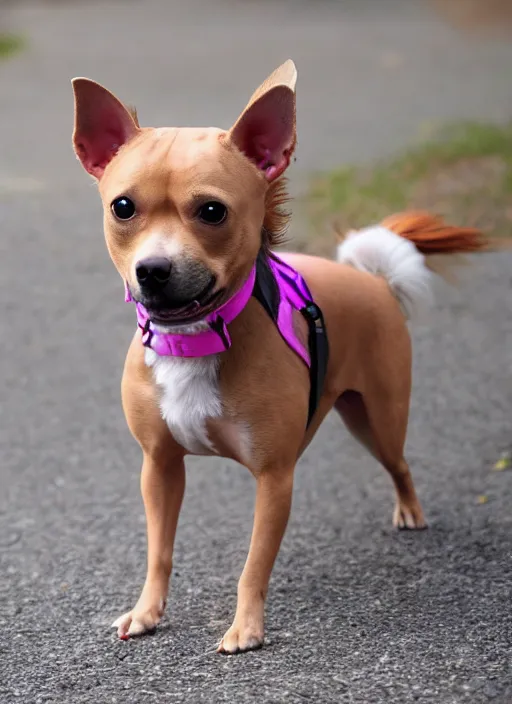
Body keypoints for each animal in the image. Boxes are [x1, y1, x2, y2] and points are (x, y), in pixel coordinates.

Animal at [71, 60, 484, 656]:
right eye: (122, 207)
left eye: (213, 211)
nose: (152, 270)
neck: (198, 339)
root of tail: (370, 279)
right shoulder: (160, 468)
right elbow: (159, 552)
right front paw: (147, 612)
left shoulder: (274, 479)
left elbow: (253, 564)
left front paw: (246, 628)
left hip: (378, 420)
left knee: (400, 464)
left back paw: (410, 510)